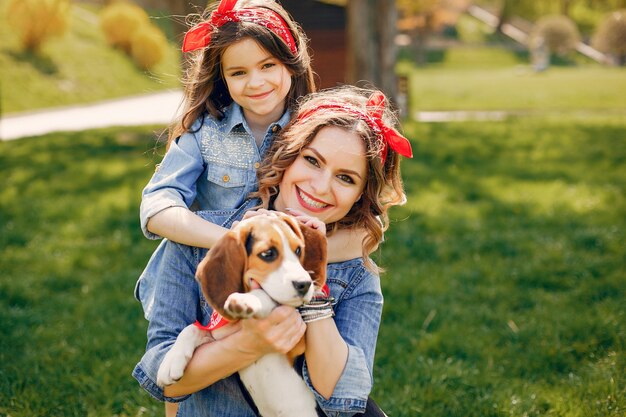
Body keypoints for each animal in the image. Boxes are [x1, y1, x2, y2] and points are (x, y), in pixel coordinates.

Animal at [156, 213, 326, 414]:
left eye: (299, 250)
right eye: (268, 254)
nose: (305, 284)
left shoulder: (298, 343)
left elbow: (264, 295)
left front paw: (245, 300)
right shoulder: (223, 347)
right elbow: (192, 329)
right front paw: (170, 362)